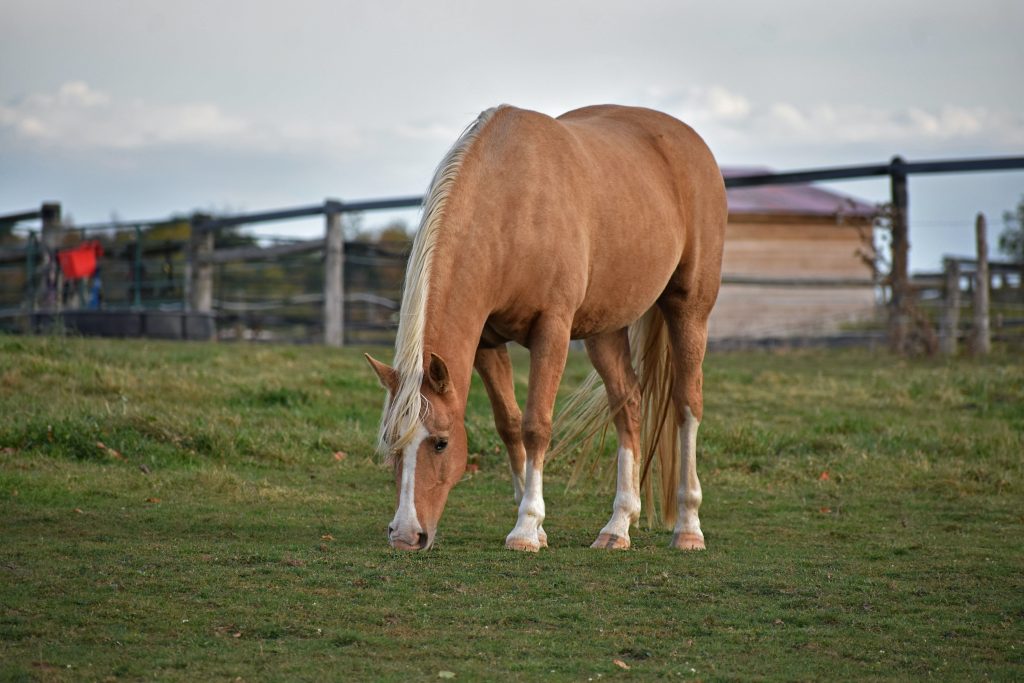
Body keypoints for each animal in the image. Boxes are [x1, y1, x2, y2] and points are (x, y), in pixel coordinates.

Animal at [368, 104, 729, 552]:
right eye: (391, 443)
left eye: (441, 442)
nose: (404, 535)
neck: (511, 203)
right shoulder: (487, 342)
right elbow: (509, 425)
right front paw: (536, 525)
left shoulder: (551, 330)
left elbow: (536, 425)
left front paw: (525, 529)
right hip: (604, 329)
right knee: (627, 403)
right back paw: (618, 526)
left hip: (689, 310)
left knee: (687, 404)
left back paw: (688, 527)